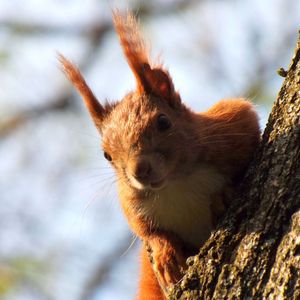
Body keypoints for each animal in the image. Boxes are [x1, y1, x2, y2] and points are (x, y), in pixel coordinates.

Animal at [58, 10, 260, 298]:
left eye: (163, 122)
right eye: (106, 155)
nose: (139, 171)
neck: (176, 183)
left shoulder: (231, 124)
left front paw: (224, 194)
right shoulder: (130, 200)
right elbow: (146, 230)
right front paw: (165, 253)